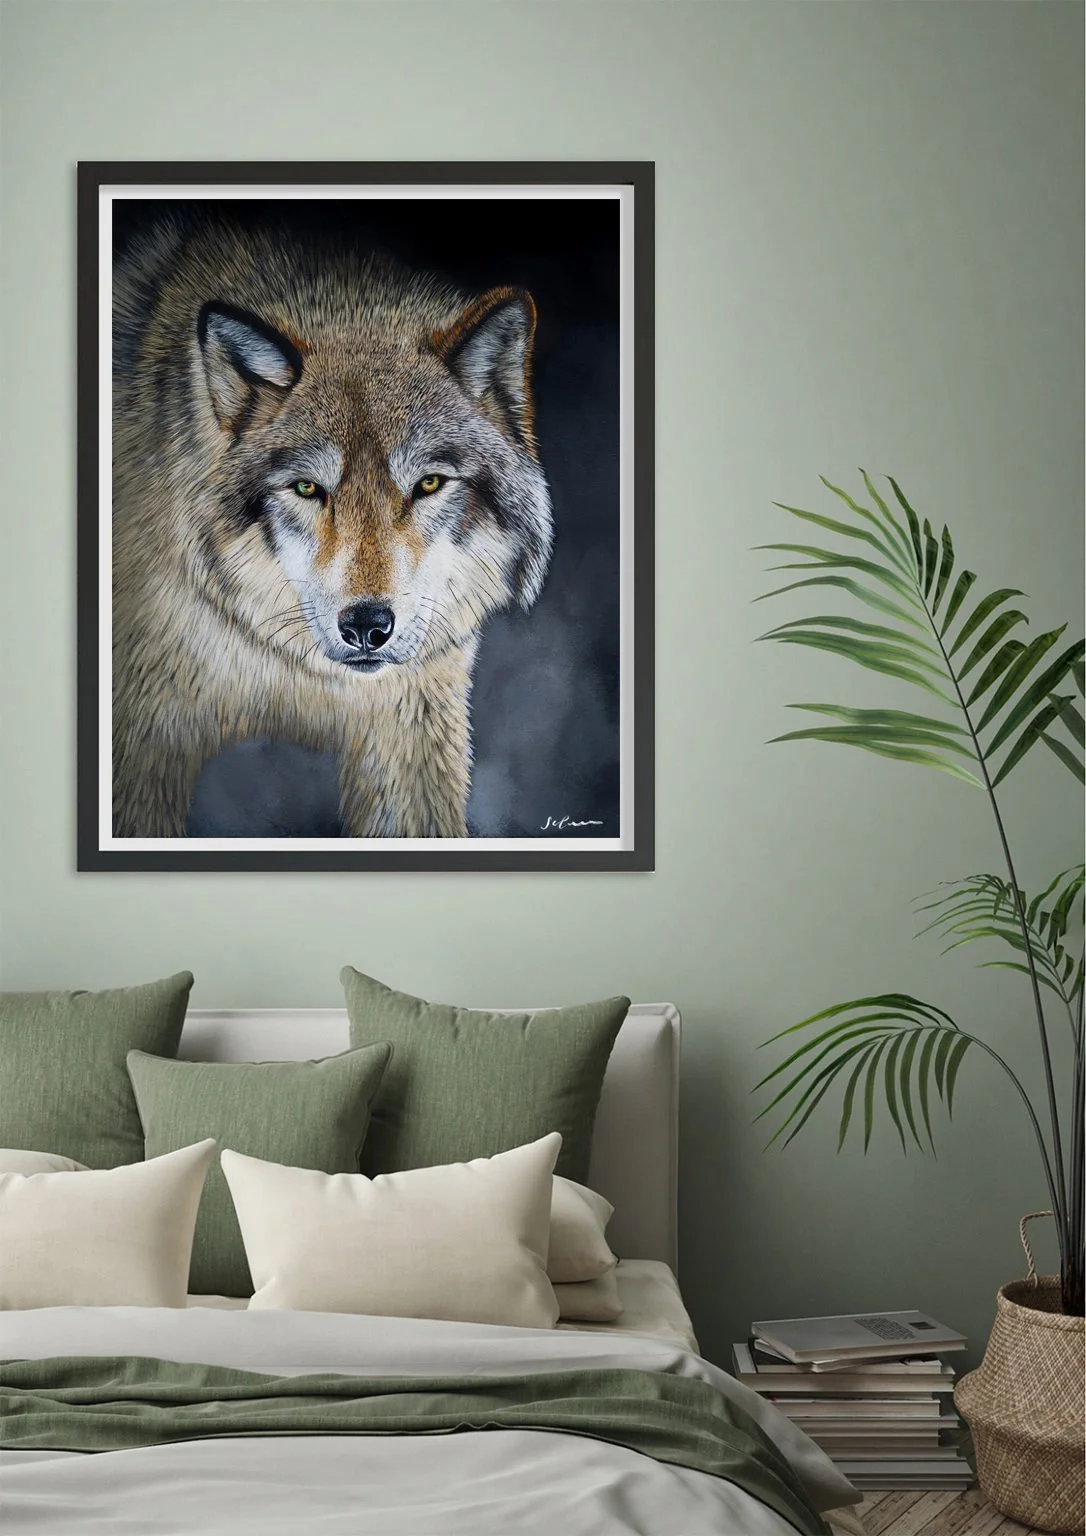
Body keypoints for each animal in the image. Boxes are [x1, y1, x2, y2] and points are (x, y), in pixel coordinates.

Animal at [112, 214, 554, 838]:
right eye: (307, 489)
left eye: (427, 484)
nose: (367, 626)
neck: (287, 671)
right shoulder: (143, 741)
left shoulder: (412, 729)